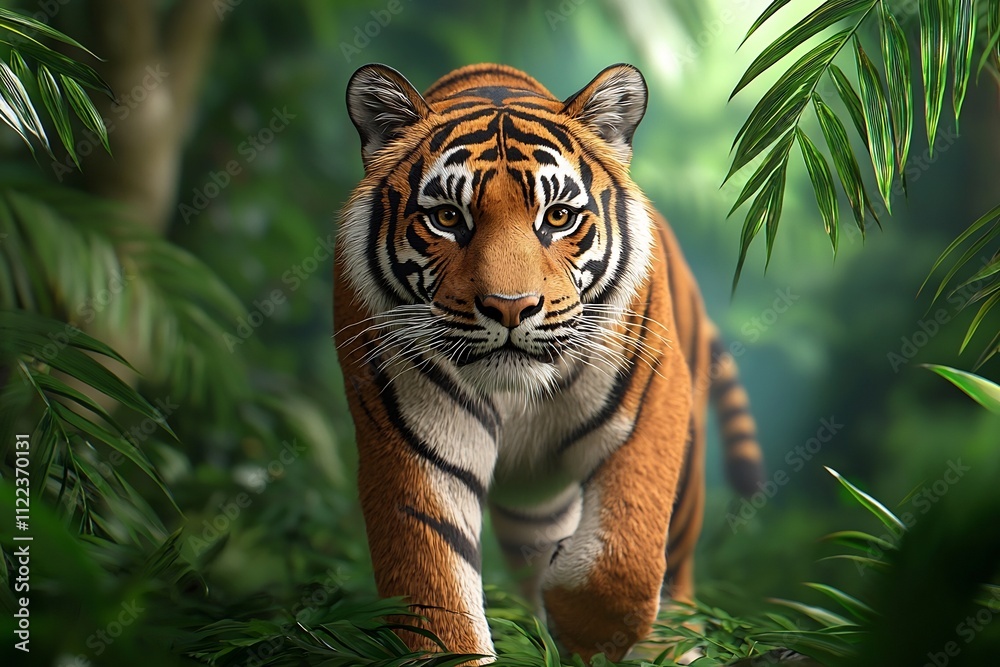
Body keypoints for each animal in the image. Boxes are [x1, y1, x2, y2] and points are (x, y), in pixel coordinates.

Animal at [333, 62, 764, 663]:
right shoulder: (413, 445)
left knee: (673, 575)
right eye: (447, 217)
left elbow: (623, 560)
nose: (510, 307)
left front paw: (586, 628)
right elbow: (434, 592)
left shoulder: (652, 403)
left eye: (558, 216)